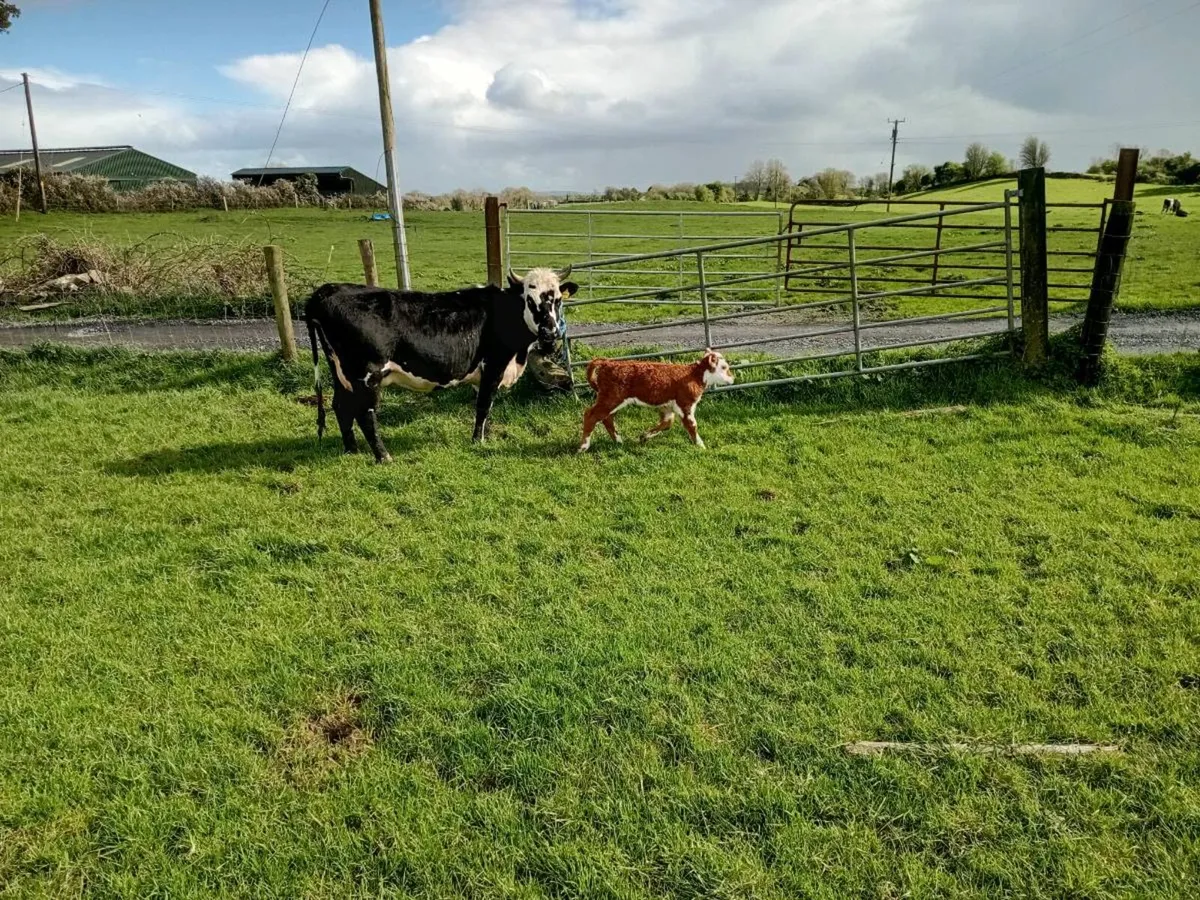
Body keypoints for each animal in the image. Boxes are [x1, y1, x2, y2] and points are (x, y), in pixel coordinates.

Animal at [304, 266, 577, 463]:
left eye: (557, 300)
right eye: (530, 299)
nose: (551, 332)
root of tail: (326, 290)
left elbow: (484, 408)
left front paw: (485, 435)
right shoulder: (494, 366)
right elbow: (484, 406)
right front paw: (478, 441)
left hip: (340, 373)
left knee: (340, 407)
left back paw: (352, 450)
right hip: (367, 376)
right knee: (365, 415)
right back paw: (383, 457)